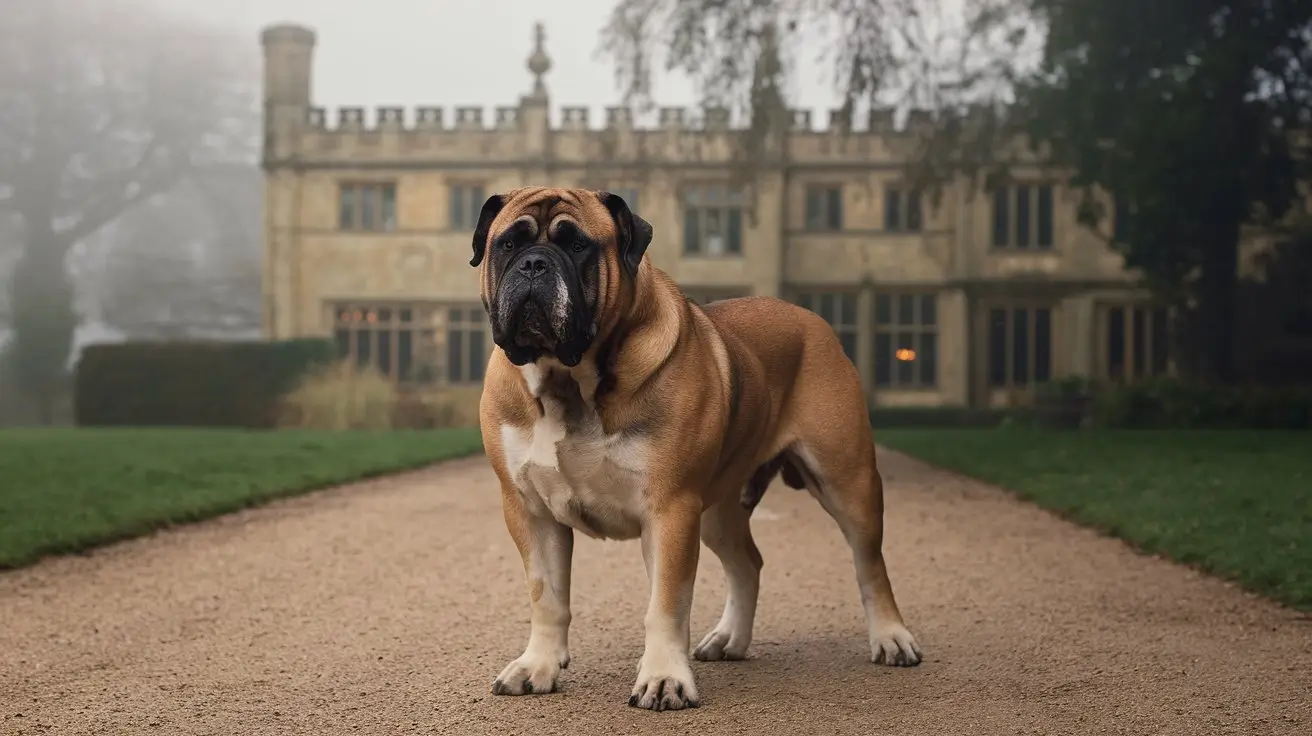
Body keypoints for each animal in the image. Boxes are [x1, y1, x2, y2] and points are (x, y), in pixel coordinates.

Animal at [474, 186, 923, 708]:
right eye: (507, 243)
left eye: (579, 245)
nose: (533, 264)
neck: (568, 381)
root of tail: (816, 323)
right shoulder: (530, 511)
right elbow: (546, 596)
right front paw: (538, 666)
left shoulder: (670, 509)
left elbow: (666, 603)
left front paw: (664, 678)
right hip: (717, 512)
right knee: (747, 564)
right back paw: (730, 639)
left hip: (847, 482)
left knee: (870, 563)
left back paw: (891, 638)